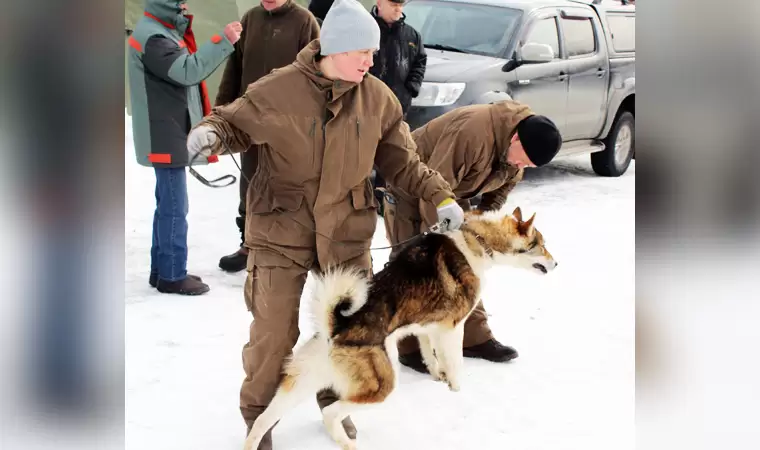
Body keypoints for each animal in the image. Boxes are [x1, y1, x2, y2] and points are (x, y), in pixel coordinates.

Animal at [245, 207, 560, 450]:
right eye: (542, 245)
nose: (557, 263)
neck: (477, 240)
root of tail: (336, 327)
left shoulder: (427, 328)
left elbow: (430, 356)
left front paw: (437, 377)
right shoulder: (451, 328)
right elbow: (455, 365)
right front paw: (456, 392)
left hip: (297, 385)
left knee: (262, 421)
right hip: (381, 385)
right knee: (331, 413)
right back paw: (347, 443)